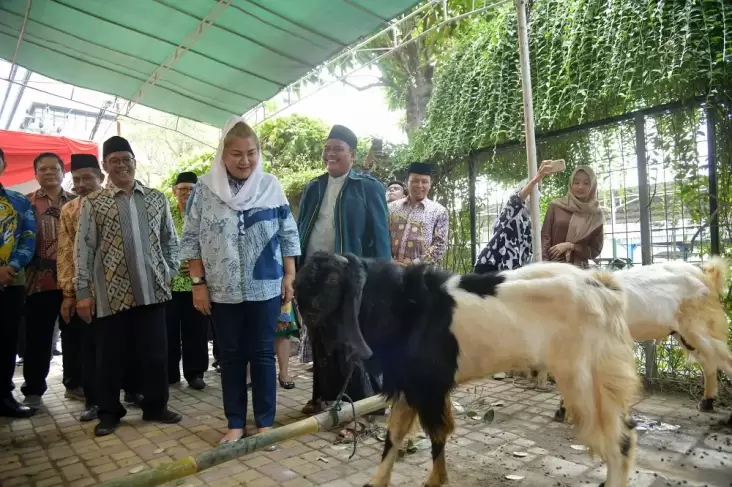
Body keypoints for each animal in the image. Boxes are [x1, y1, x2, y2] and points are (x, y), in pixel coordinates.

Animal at [294, 254, 636, 486]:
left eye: (332, 280)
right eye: (301, 283)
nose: (306, 313)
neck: (405, 307)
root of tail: (604, 288)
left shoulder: (429, 387)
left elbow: (438, 434)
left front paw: (435, 481)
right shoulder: (409, 385)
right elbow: (394, 435)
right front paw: (377, 481)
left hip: (586, 380)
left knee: (619, 442)